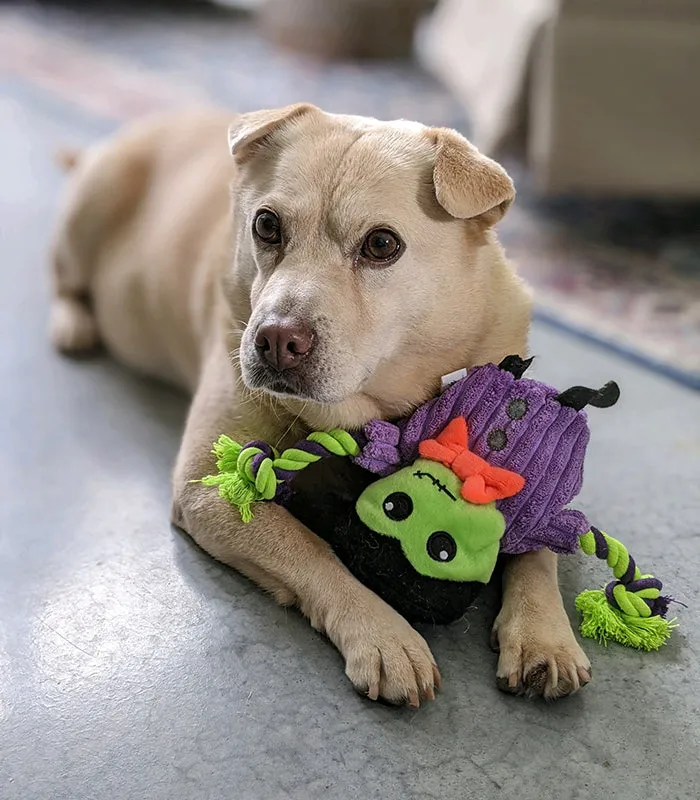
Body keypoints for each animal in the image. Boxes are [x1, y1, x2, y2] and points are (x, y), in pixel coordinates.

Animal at [50, 104, 592, 708]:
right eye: (266, 225)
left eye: (381, 245)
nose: (274, 340)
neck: (373, 404)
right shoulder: (209, 486)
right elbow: (310, 549)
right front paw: (383, 635)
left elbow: (539, 549)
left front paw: (545, 634)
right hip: (89, 208)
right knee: (62, 278)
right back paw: (73, 322)